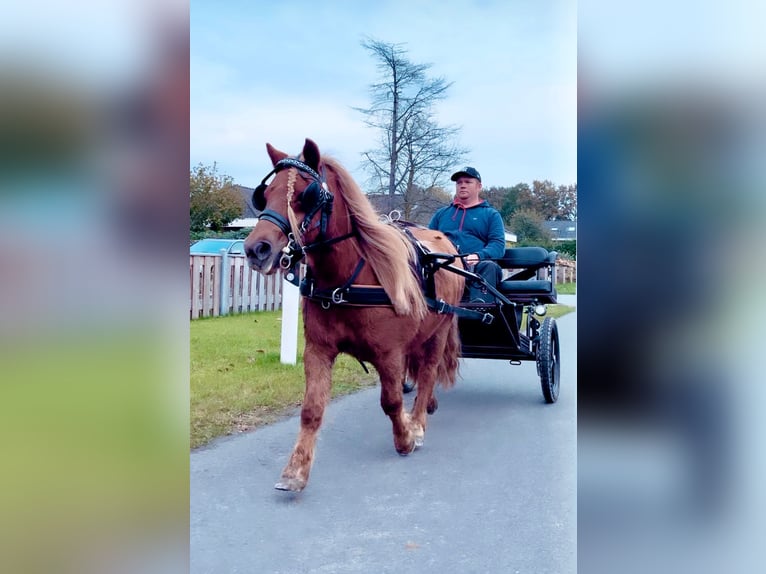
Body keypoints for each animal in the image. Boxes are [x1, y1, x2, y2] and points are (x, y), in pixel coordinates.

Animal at [246, 138, 464, 490]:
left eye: (306, 194)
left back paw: (418, 422)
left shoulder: (390, 354)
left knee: (429, 372)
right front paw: (296, 469)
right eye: (264, 195)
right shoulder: (318, 351)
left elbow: (391, 402)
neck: (346, 279)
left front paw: (405, 436)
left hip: (439, 330)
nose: (256, 249)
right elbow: (311, 409)